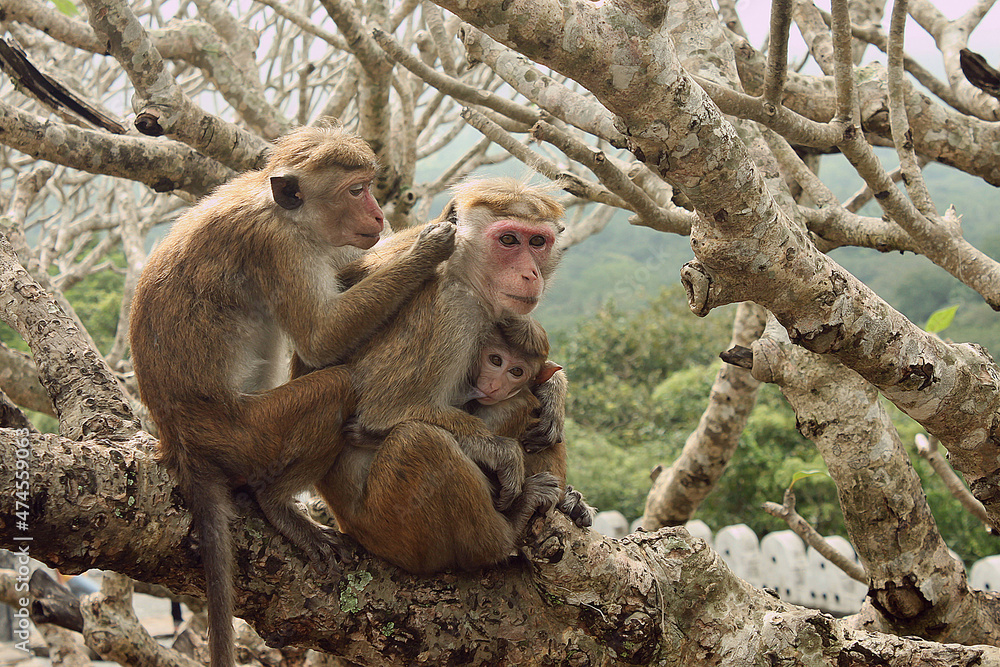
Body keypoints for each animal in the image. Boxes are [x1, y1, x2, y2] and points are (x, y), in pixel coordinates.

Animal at [129, 125, 456, 667]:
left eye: (369, 186)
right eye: (355, 190)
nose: (378, 215)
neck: (287, 214)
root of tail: (180, 444)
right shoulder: (278, 248)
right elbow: (322, 340)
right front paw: (428, 248)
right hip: (247, 434)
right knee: (335, 387)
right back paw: (276, 504)